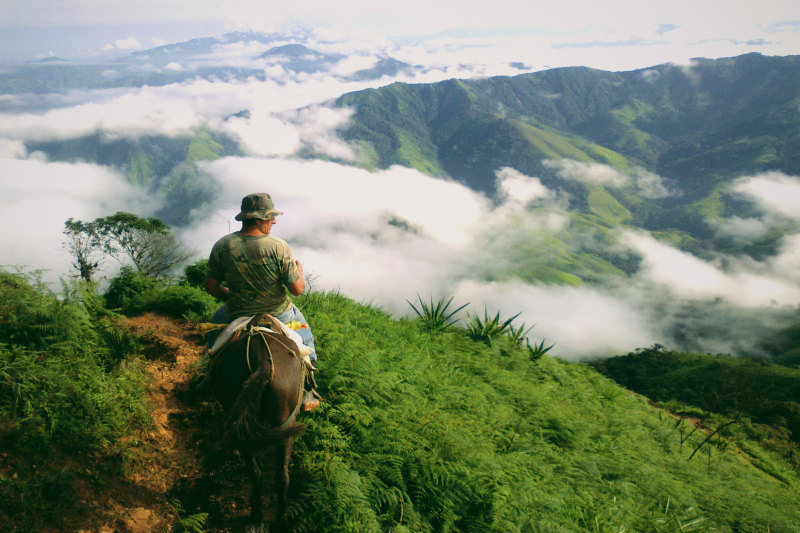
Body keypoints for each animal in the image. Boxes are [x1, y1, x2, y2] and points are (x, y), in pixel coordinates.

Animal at [208, 312, 308, 528]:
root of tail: (263, 360)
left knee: (259, 473)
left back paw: (260, 514)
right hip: (285, 424)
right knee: (280, 475)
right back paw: (277, 517)